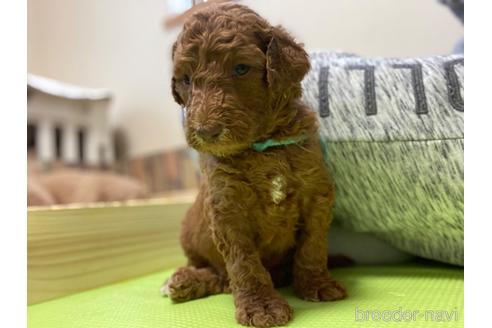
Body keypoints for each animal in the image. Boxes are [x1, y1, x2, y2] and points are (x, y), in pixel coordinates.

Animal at [161, 1, 346, 326]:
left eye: (240, 69)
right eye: (186, 79)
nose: (206, 132)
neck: (262, 147)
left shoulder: (316, 193)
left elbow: (312, 247)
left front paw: (316, 284)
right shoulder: (226, 207)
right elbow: (243, 262)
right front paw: (262, 306)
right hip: (190, 235)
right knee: (215, 272)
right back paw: (183, 280)